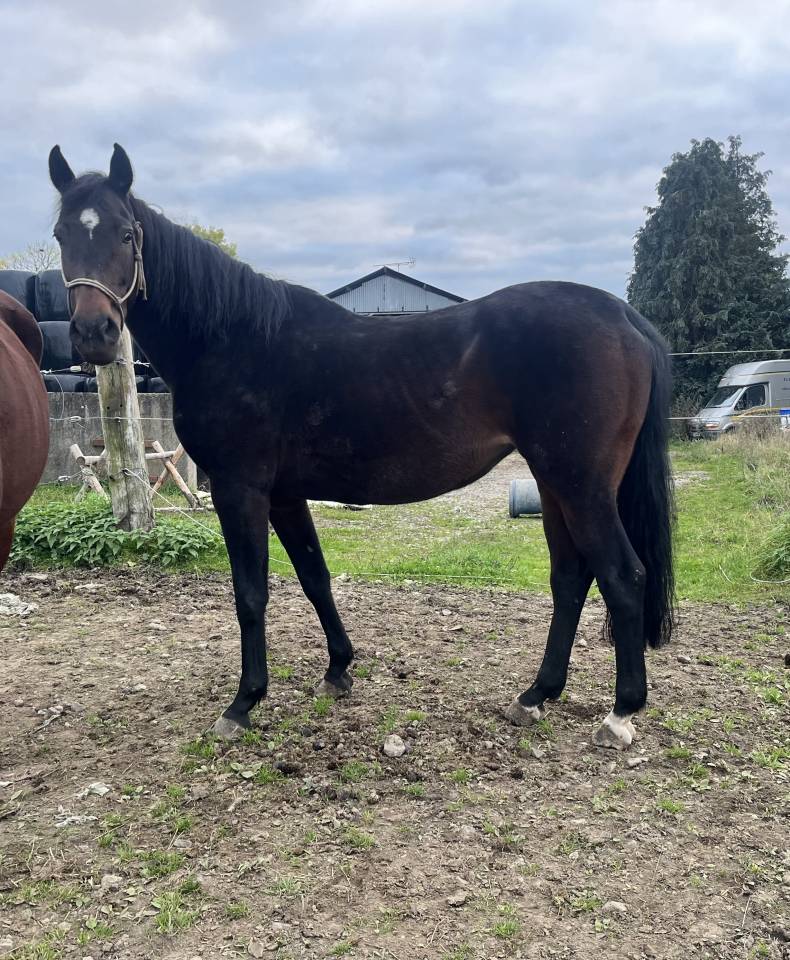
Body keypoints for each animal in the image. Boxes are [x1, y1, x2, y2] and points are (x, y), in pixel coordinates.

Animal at [48, 143, 675, 750]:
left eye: (125, 234)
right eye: (60, 235)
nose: (94, 333)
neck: (231, 340)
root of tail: (625, 317)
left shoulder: (239, 490)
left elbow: (251, 594)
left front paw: (243, 703)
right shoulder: (284, 495)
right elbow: (314, 576)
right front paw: (338, 669)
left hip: (581, 485)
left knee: (623, 576)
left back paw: (621, 714)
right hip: (552, 483)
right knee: (570, 577)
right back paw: (537, 695)